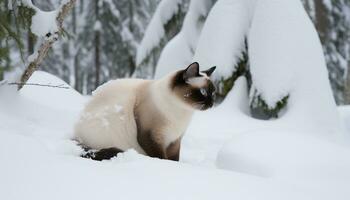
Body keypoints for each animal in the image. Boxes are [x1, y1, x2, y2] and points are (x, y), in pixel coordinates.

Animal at [74, 62, 216, 161]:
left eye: (213, 92)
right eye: (203, 92)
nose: (212, 102)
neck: (181, 110)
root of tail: (77, 136)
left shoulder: (174, 140)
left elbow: (175, 158)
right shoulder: (151, 136)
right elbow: (160, 157)